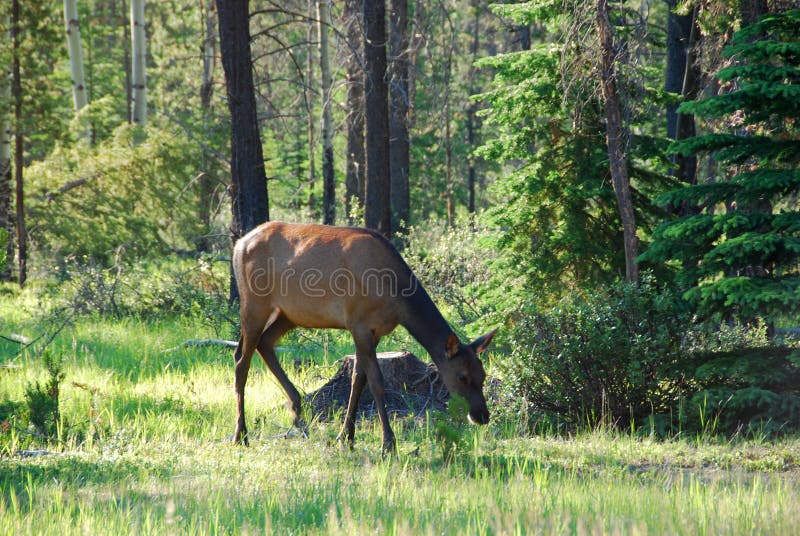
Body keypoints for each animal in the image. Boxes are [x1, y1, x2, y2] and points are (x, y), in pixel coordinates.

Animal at [228, 221, 496, 452]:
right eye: (462, 376)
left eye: (482, 374)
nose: (482, 415)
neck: (396, 299)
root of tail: (239, 244)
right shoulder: (358, 324)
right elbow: (376, 382)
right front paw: (388, 443)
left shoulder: (373, 332)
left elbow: (358, 378)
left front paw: (346, 436)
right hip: (254, 303)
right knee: (241, 360)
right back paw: (241, 434)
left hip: (289, 313)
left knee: (265, 343)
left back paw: (297, 409)